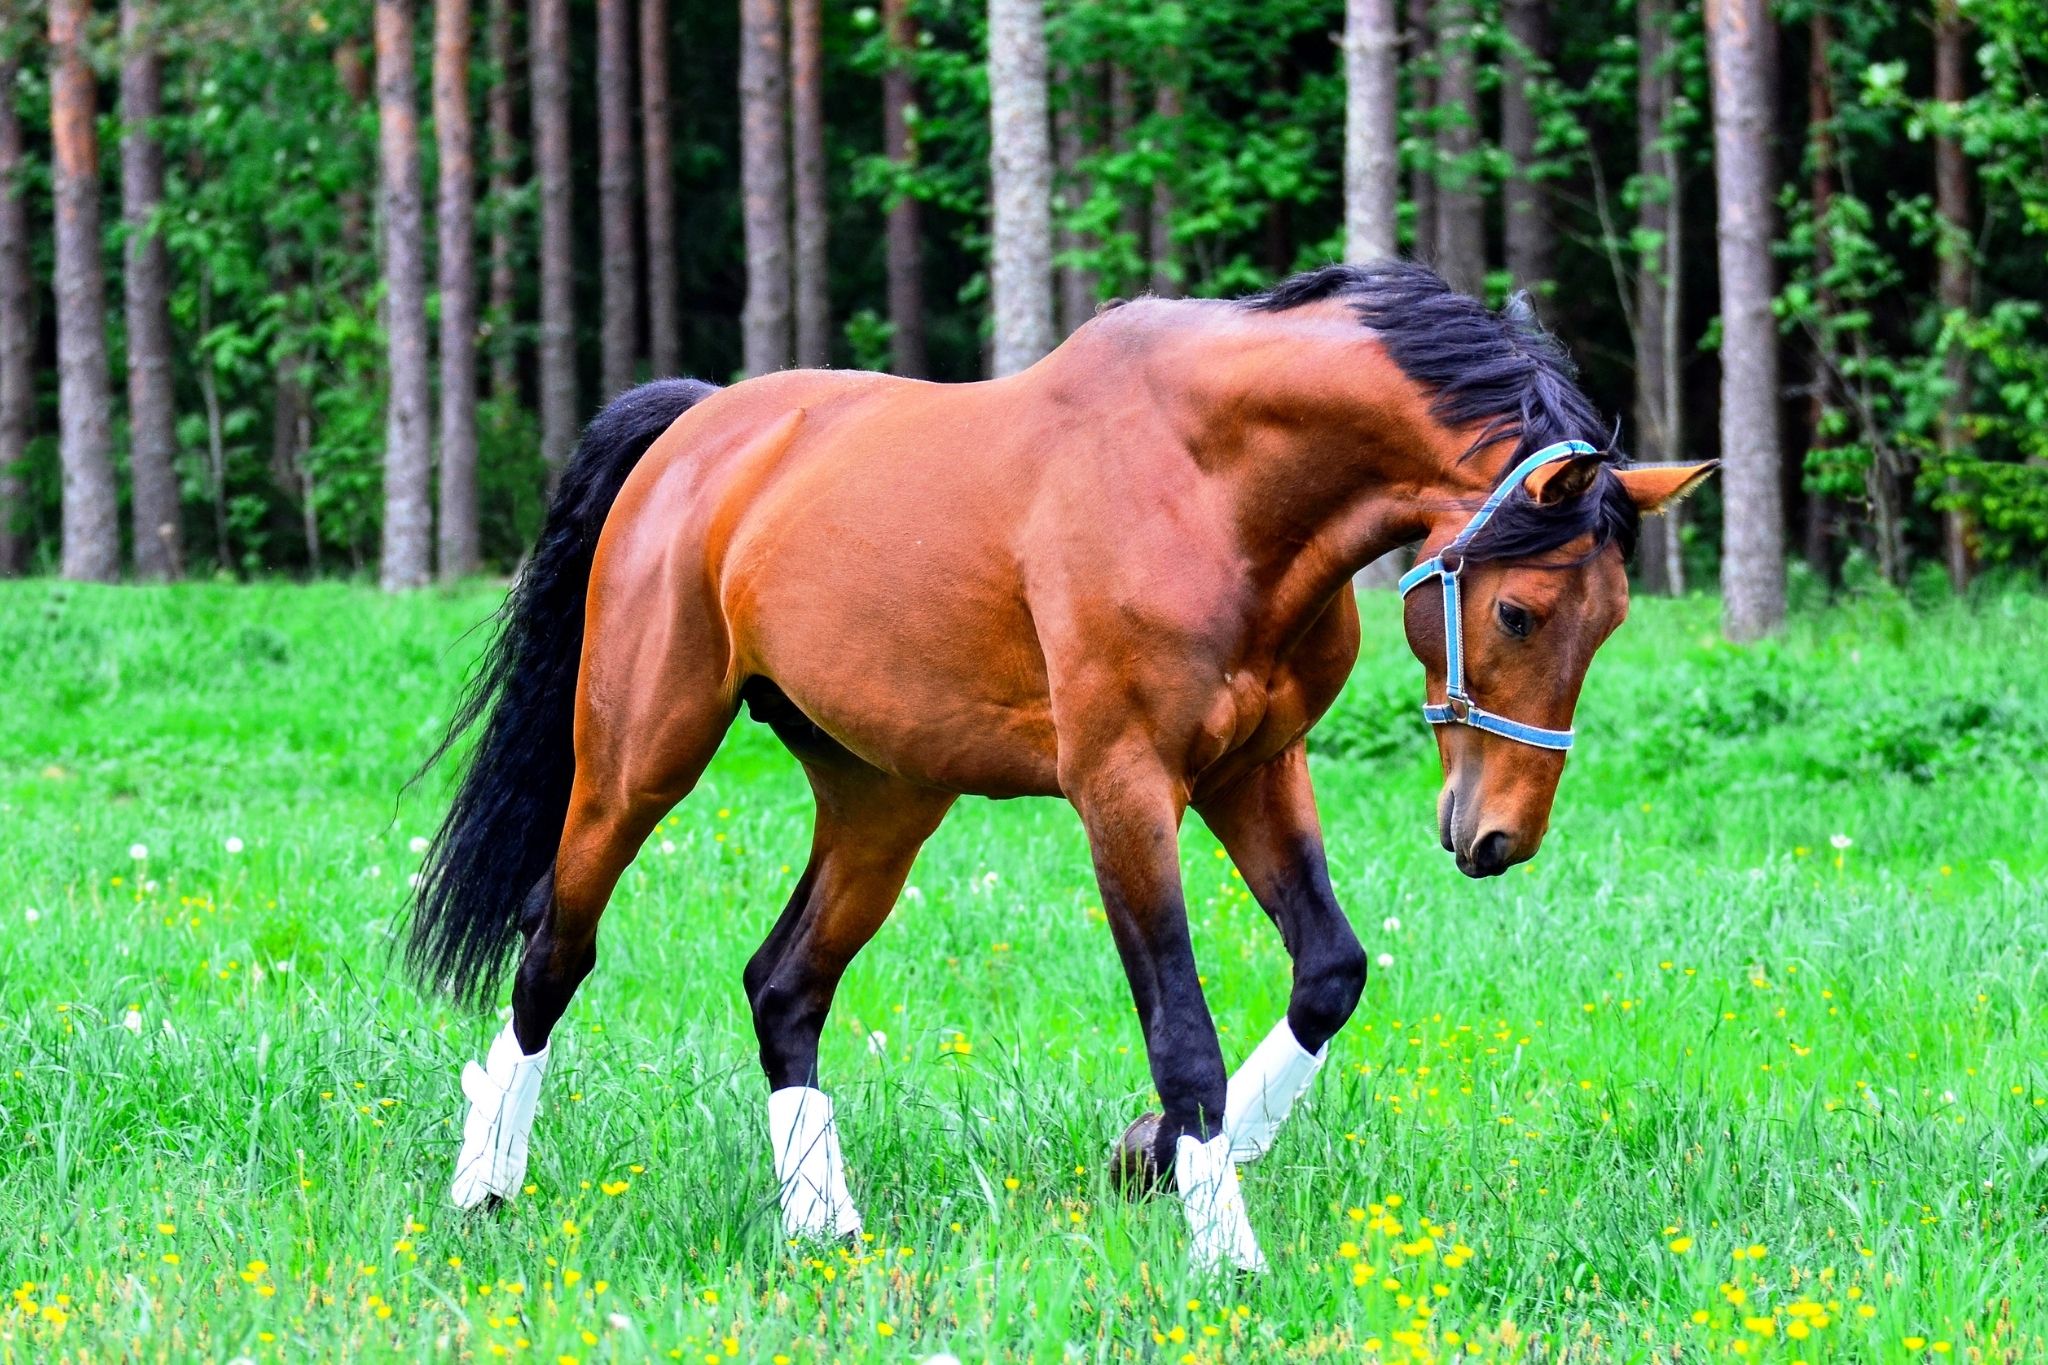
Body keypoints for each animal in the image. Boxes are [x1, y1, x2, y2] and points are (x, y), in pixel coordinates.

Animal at [409, 261, 1715, 1272]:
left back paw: (823, 1227)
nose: (1497, 837)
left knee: (783, 984)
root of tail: (703, 426)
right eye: (1519, 614)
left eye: (1608, 622)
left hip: (884, 798)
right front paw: (1223, 1247)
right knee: (555, 944)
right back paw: (485, 1189)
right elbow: (1180, 1031)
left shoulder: (1255, 769)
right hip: (641, 754)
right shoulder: (1123, 790)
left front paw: (1153, 1160)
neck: (1214, 487)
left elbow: (1328, 973)